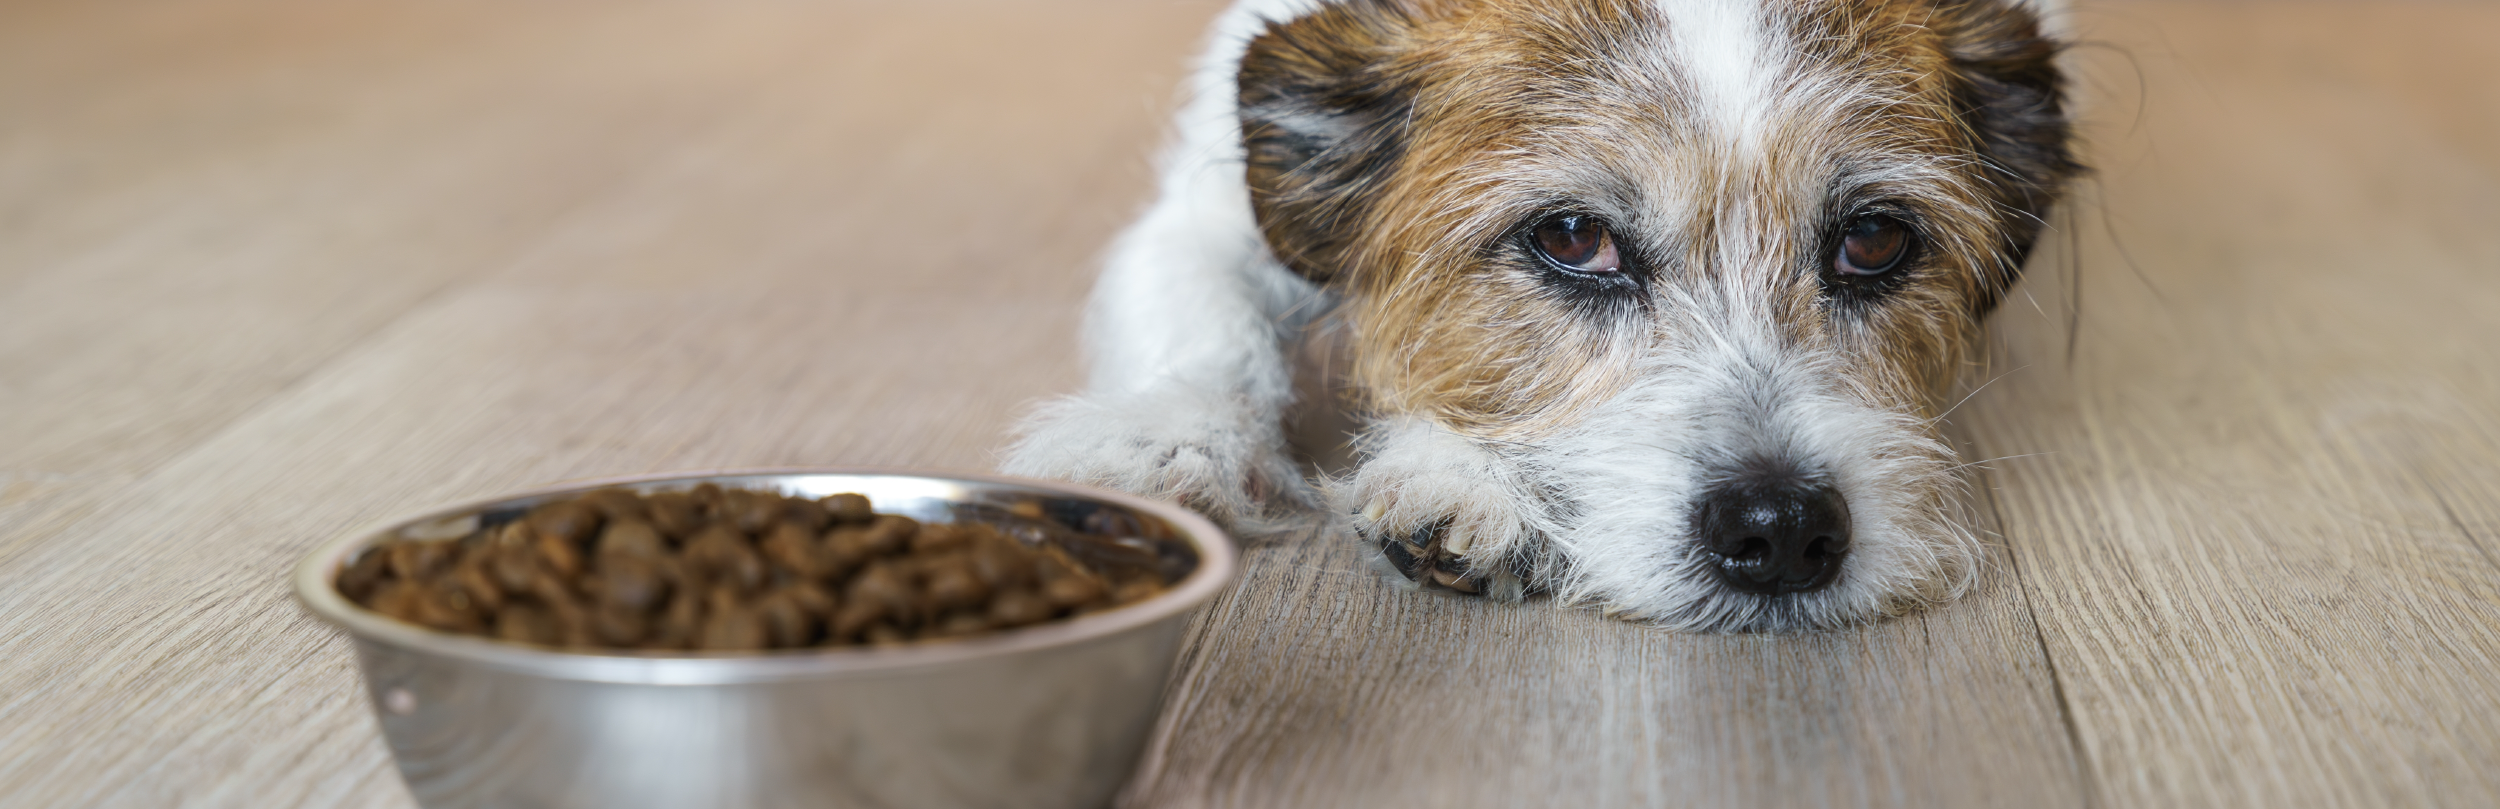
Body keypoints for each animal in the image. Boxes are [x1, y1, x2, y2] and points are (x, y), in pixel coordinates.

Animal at [995, 0, 2070, 631]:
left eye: (1875, 240)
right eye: (1572, 237)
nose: (1783, 529)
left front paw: (1461, 474)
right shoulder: (1207, 207)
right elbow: (1202, 312)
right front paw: (1160, 437)